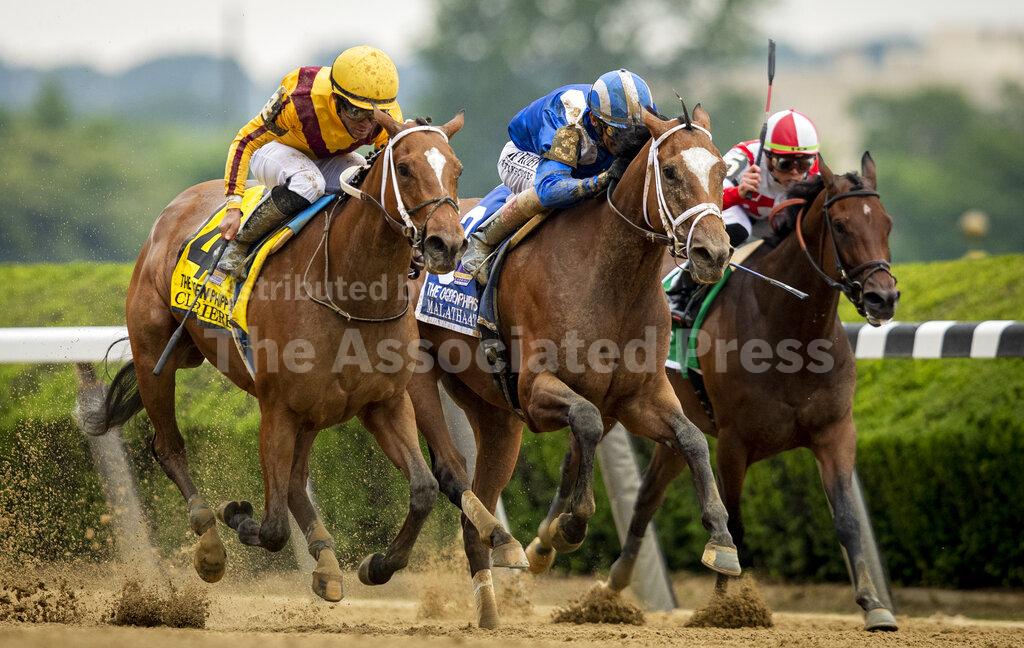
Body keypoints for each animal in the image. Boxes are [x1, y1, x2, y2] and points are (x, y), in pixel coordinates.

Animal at [85, 109, 528, 602]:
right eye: (406, 168)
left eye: (457, 169)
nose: (446, 244)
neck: (350, 292)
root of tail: (171, 211)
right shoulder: (278, 407)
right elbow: (274, 527)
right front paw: (237, 515)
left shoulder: (383, 401)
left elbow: (423, 488)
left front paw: (378, 565)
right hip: (154, 356)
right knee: (169, 446)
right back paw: (212, 547)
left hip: (286, 397)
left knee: (296, 481)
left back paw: (327, 564)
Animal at [406, 106, 741, 629]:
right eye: (669, 172)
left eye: (722, 172)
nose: (715, 253)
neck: (608, 277)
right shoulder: (535, 389)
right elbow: (584, 421)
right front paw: (568, 526)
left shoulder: (638, 397)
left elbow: (690, 438)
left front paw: (722, 543)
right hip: (420, 377)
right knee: (445, 470)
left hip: (494, 414)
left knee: (476, 499)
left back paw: (490, 598)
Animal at [603, 153, 902, 631]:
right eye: (840, 225)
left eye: (886, 223)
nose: (882, 298)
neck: (792, 337)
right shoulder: (734, 442)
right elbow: (735, 524)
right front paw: (725, 607)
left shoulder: (835, 432)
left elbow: (847, 519)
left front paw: (875, 604)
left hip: (674, 424)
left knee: (647, 496)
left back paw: (615, 583)